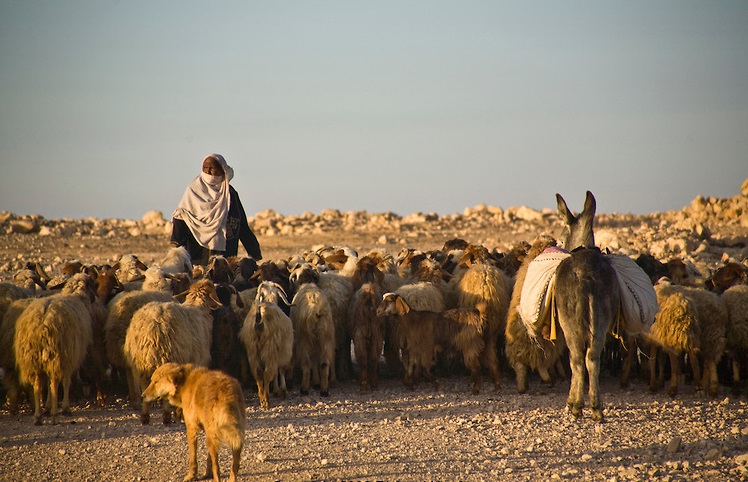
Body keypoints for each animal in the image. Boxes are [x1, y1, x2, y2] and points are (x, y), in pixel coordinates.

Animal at [122, 276, 219, 424]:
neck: (198, 306)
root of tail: (151, 325)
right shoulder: (198, 359)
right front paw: (180, 412)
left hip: (140, 361)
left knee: (144, 386)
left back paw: (145, 416)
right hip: (167, 356)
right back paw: (166, 416)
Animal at [502, 235, 568, 394]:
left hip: (517, 355)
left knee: (520, 369)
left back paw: (522, 388)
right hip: (544, 349)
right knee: (542, 365)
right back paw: (549, 380)